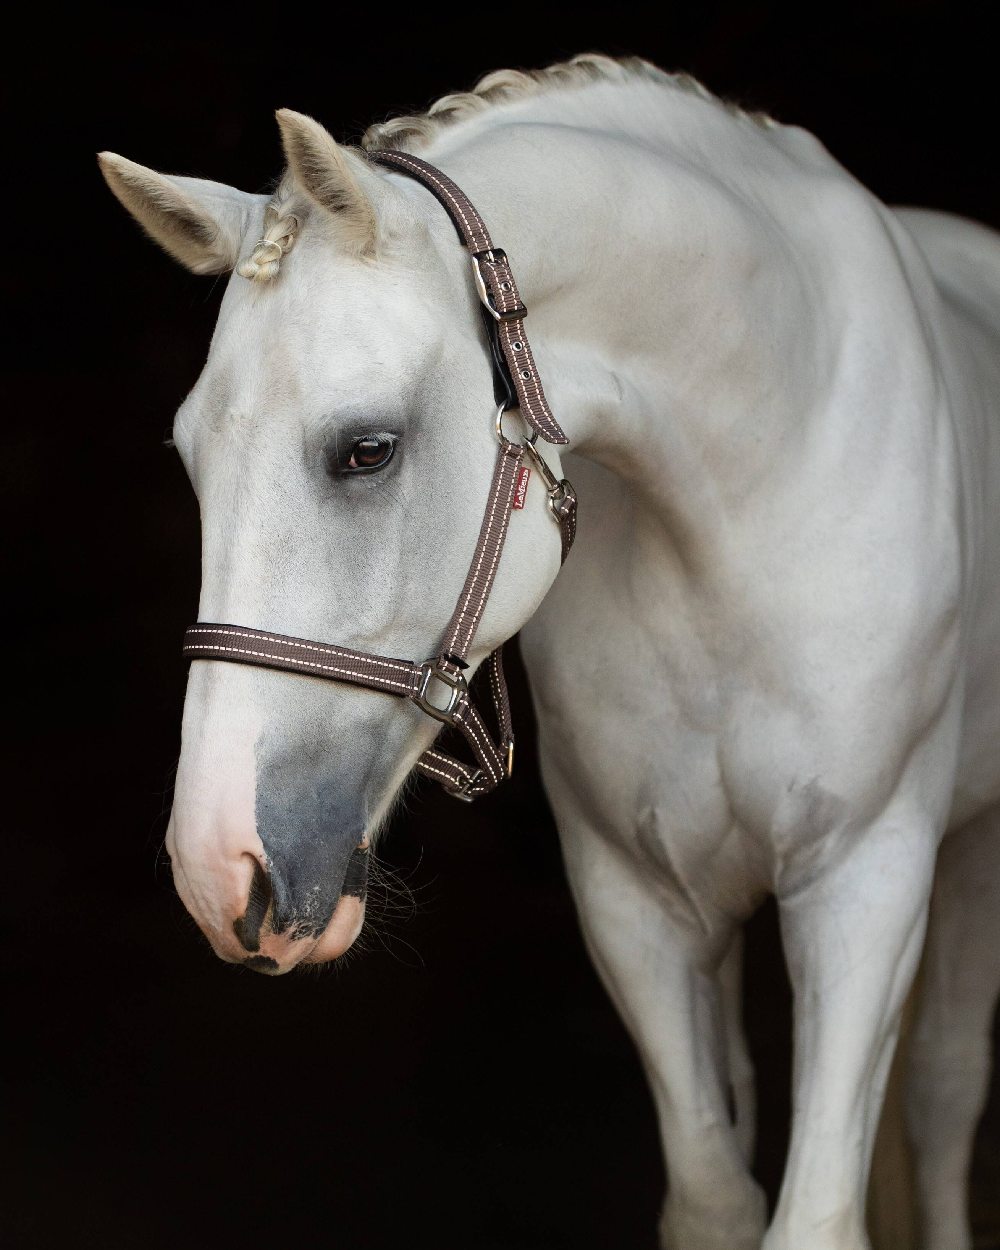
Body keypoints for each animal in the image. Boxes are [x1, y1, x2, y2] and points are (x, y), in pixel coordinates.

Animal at [101, 56, 1000, 1250]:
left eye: (367, 449)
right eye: (191, 456)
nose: (219, 869)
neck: (762, 472)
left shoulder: (866, 877)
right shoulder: (636, 902)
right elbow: (715, 1197)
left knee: (944, 1093)